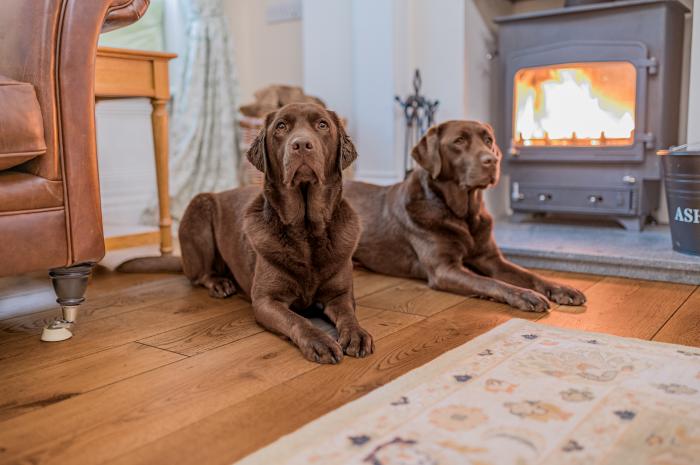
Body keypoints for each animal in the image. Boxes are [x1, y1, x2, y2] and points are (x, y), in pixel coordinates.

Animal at [120, 102, 372, 362]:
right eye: (281, 126)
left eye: (322, 125)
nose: (301, 144)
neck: (306, 230)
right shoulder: (266, 301)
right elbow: (298, 320)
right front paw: (319, 341)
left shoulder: (340, 295)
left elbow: (348, 315)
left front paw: (356, 334)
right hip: (200, 208)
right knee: (200, 275)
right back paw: (221, 284)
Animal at [344, 119, 584, 312]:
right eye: (459, 141)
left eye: (488, 140)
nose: (492, 160)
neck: (464, 215)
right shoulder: (444, 269)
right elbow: (489, 282)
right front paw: (525, 295)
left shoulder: (491, 258)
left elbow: (529, 274)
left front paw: (562, 288)